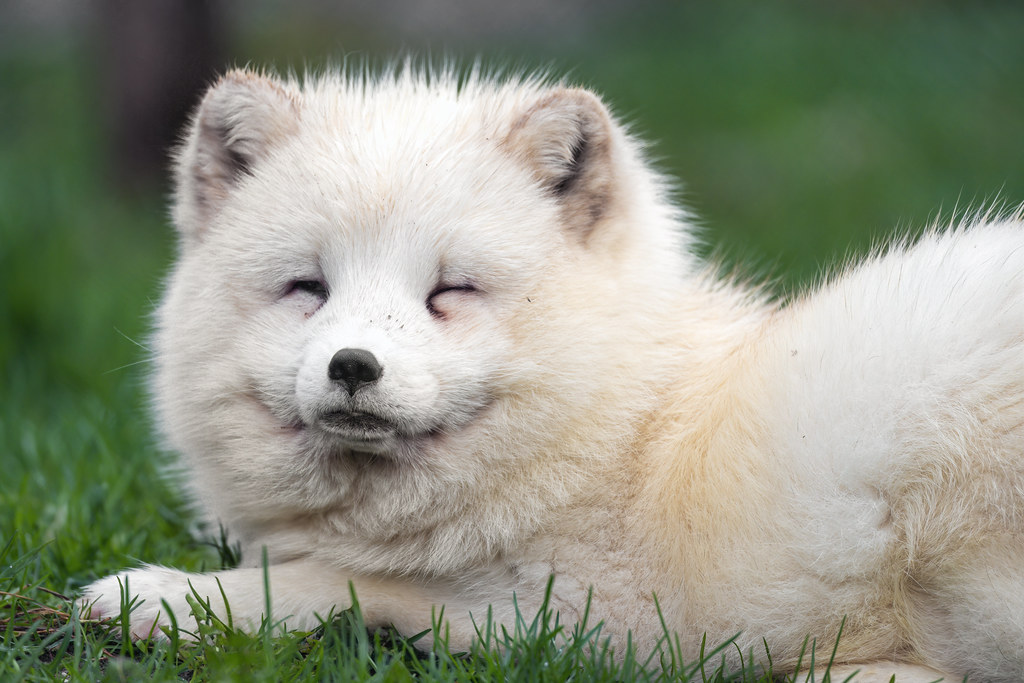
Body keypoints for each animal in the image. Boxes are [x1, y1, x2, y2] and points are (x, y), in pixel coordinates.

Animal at [82, 65, 1024, 682]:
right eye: (308, 287)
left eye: (449, 290)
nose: (353, 364)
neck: (625, 429)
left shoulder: (593, 620)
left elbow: (337, 580)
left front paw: (161, 597)